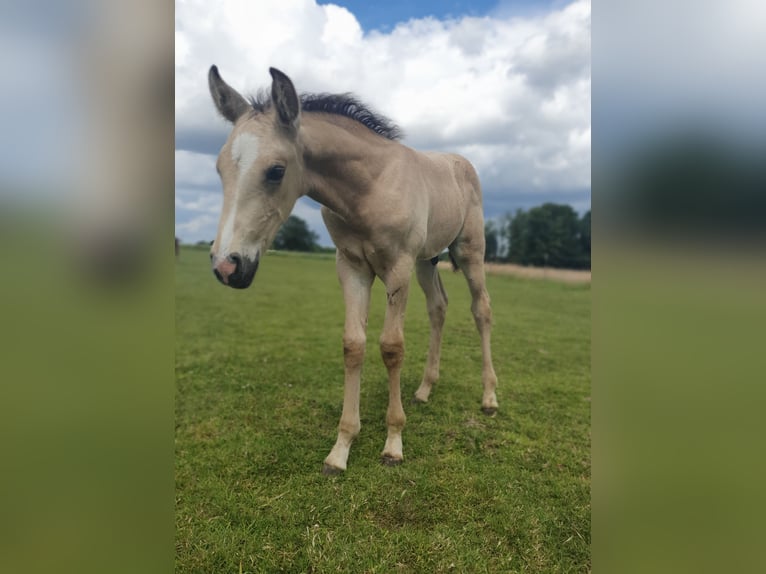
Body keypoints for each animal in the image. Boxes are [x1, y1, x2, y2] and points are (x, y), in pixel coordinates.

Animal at [207, 65, 500, 474]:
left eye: (276, 170)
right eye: (219, 168)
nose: (227, 266)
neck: (369, 188)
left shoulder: (398, 266)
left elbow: (391, 347)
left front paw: (393, 443)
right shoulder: (351, 266)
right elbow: (353, 345)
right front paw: (341, 448)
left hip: (469, 252)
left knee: (481, 309)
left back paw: (489, 397)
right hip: (427, 260)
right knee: (438, 307)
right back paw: (425, 389)